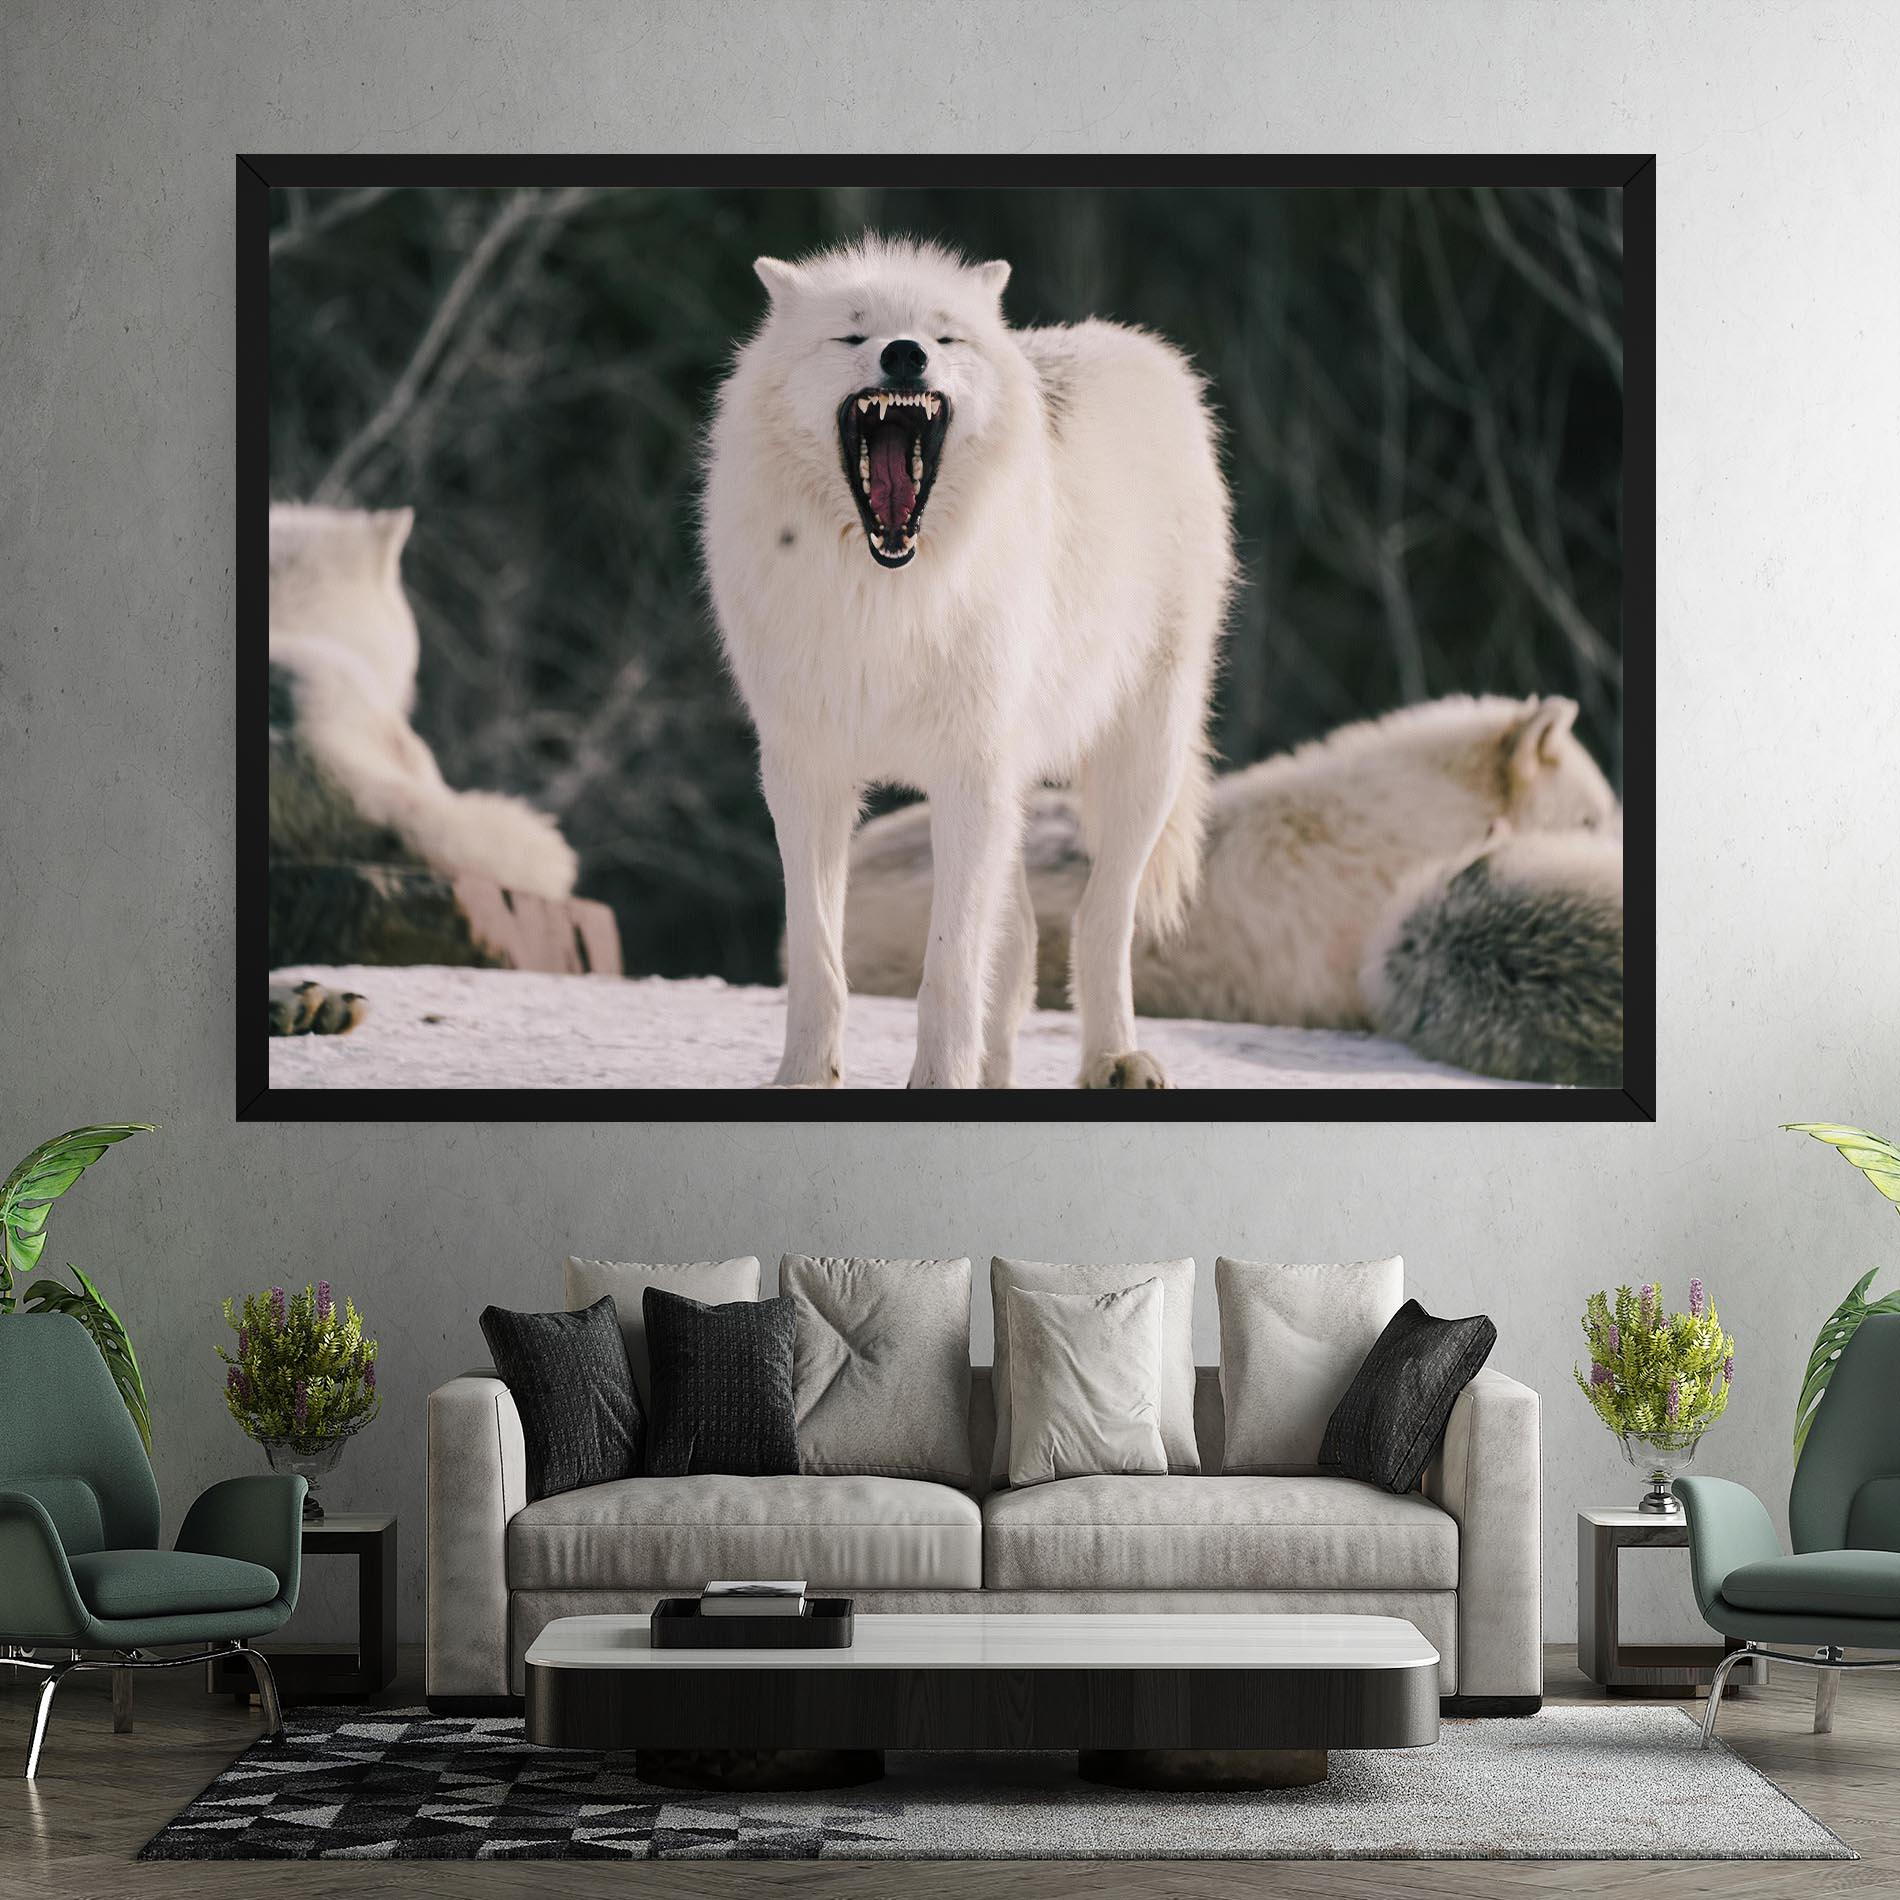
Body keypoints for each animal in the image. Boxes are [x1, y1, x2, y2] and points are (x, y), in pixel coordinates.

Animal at [702, 237, 1233, 1089]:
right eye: (853, 335)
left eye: (943, 337)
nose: (905, 354)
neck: (886, 597)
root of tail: (1137, 347)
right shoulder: (805, 775)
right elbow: (819, 959)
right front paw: (804, 1077)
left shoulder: (967, 774)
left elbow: (949, 966)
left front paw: (939, 1080)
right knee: (1017, 950)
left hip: (1140, 760)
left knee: (1100, 918)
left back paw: (1115, 1057)